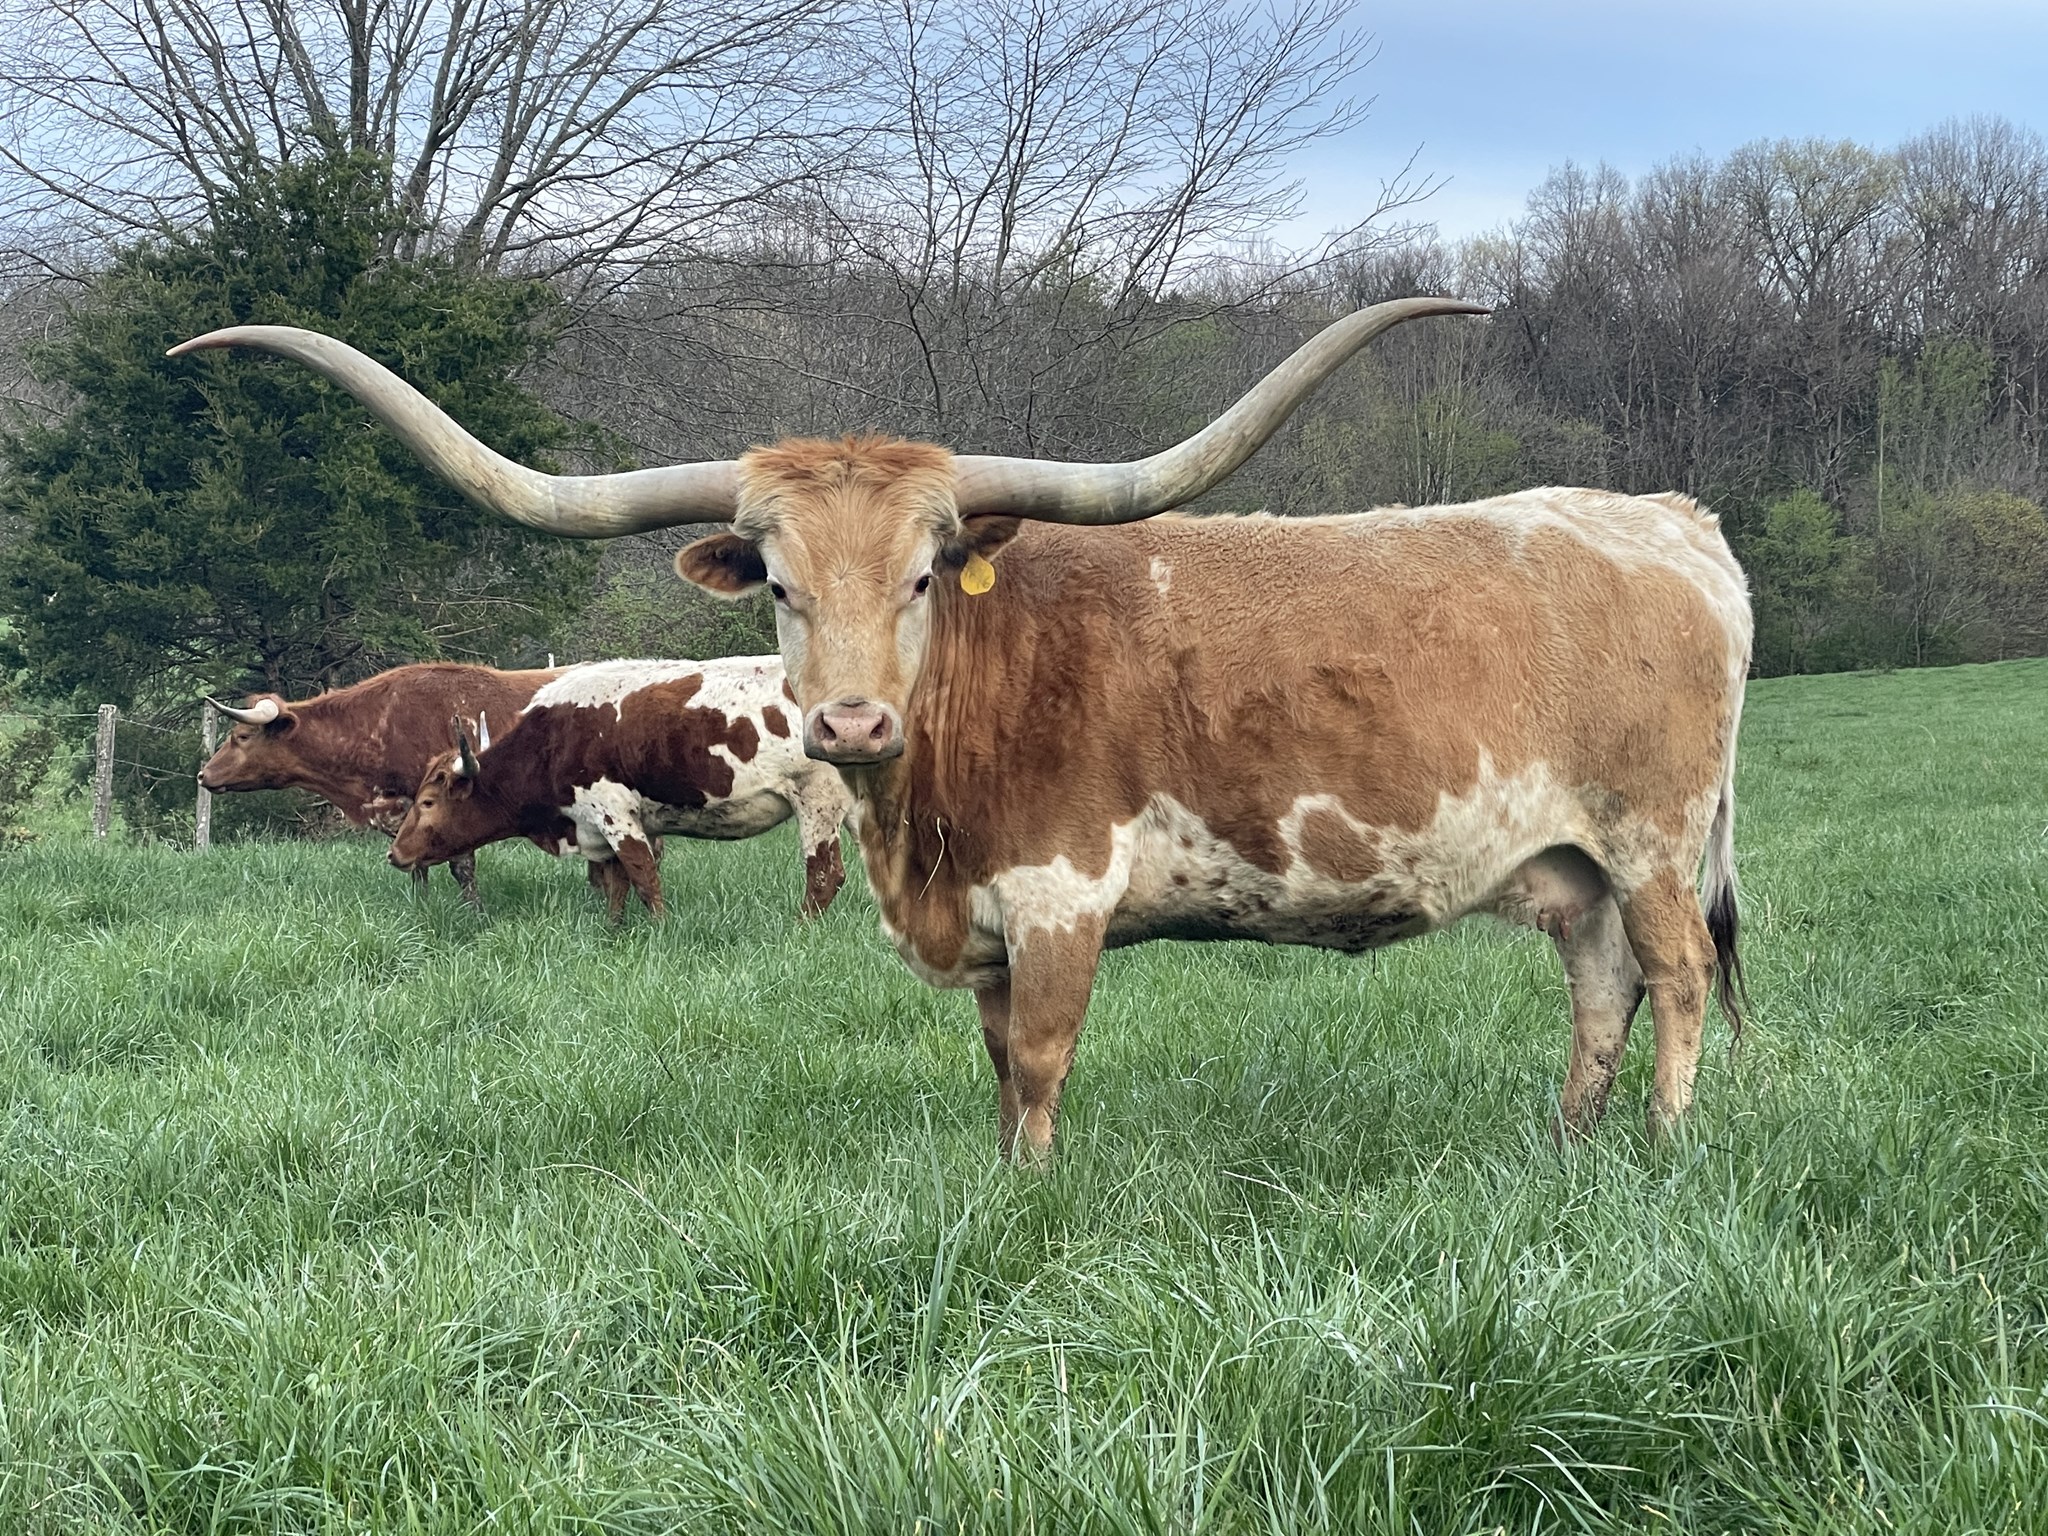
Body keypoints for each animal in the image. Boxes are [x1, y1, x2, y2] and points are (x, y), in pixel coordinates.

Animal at [199, 662, 563, 906]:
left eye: (241, 736)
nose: (203, 775)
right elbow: (418, 867)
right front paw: (421, 907)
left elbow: (462, 868)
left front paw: (473, 911)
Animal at [388, 657, 853, 921]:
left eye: (427, 802)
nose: (394, 853)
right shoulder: (600, 828)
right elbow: (617, 886)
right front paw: (614, 931)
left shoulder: (615, 814)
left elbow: (644, 878)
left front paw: (662, 929)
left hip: (818, 800)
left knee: (824, 876)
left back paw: (800, 928)